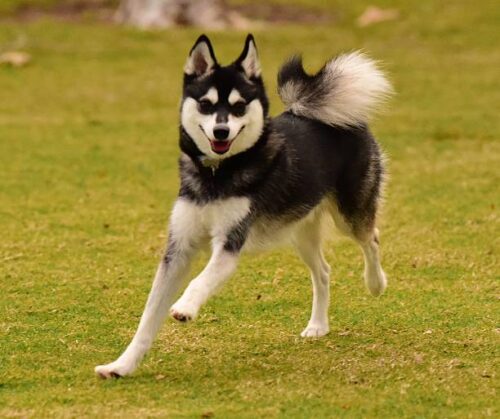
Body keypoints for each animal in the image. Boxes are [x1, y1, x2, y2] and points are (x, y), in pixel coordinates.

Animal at [95, 34, 392, 378]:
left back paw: (376, 283)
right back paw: (318, 325)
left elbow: (201, 280)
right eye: (206, 104)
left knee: (372, 238)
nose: (221, 131)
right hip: (299, 231)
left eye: (238, 107)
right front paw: (121, 365)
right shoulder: (178, 249)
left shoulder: (229, 244)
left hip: (349, 216)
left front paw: (185, 307)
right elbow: (147, 319)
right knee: (323, 271)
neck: (216, 175)